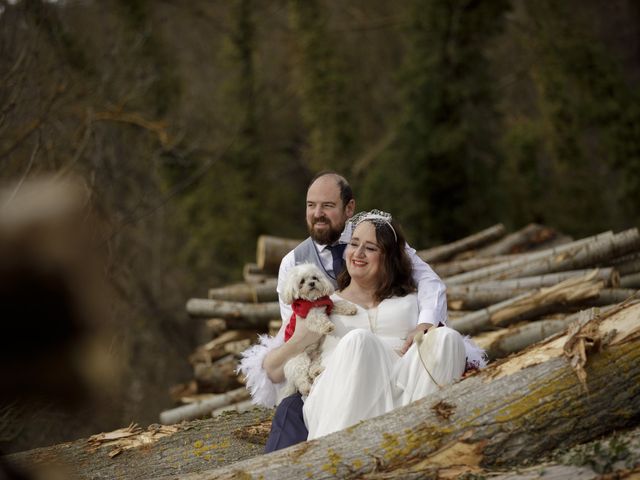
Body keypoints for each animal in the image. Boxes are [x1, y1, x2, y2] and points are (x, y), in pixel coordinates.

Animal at [282, 264, 358, 396]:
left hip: (316, 355)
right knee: (301, 378)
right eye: (302, 281)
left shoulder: (327, 306)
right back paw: (306, 388)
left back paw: (316, 371)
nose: (312, 283)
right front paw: (328, 327)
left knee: (312, 368)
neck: (314, 300)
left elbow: (338, 303)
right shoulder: (310, 316)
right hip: (300, 359)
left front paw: (350, 308)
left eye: (315, 277)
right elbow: (318, 319)